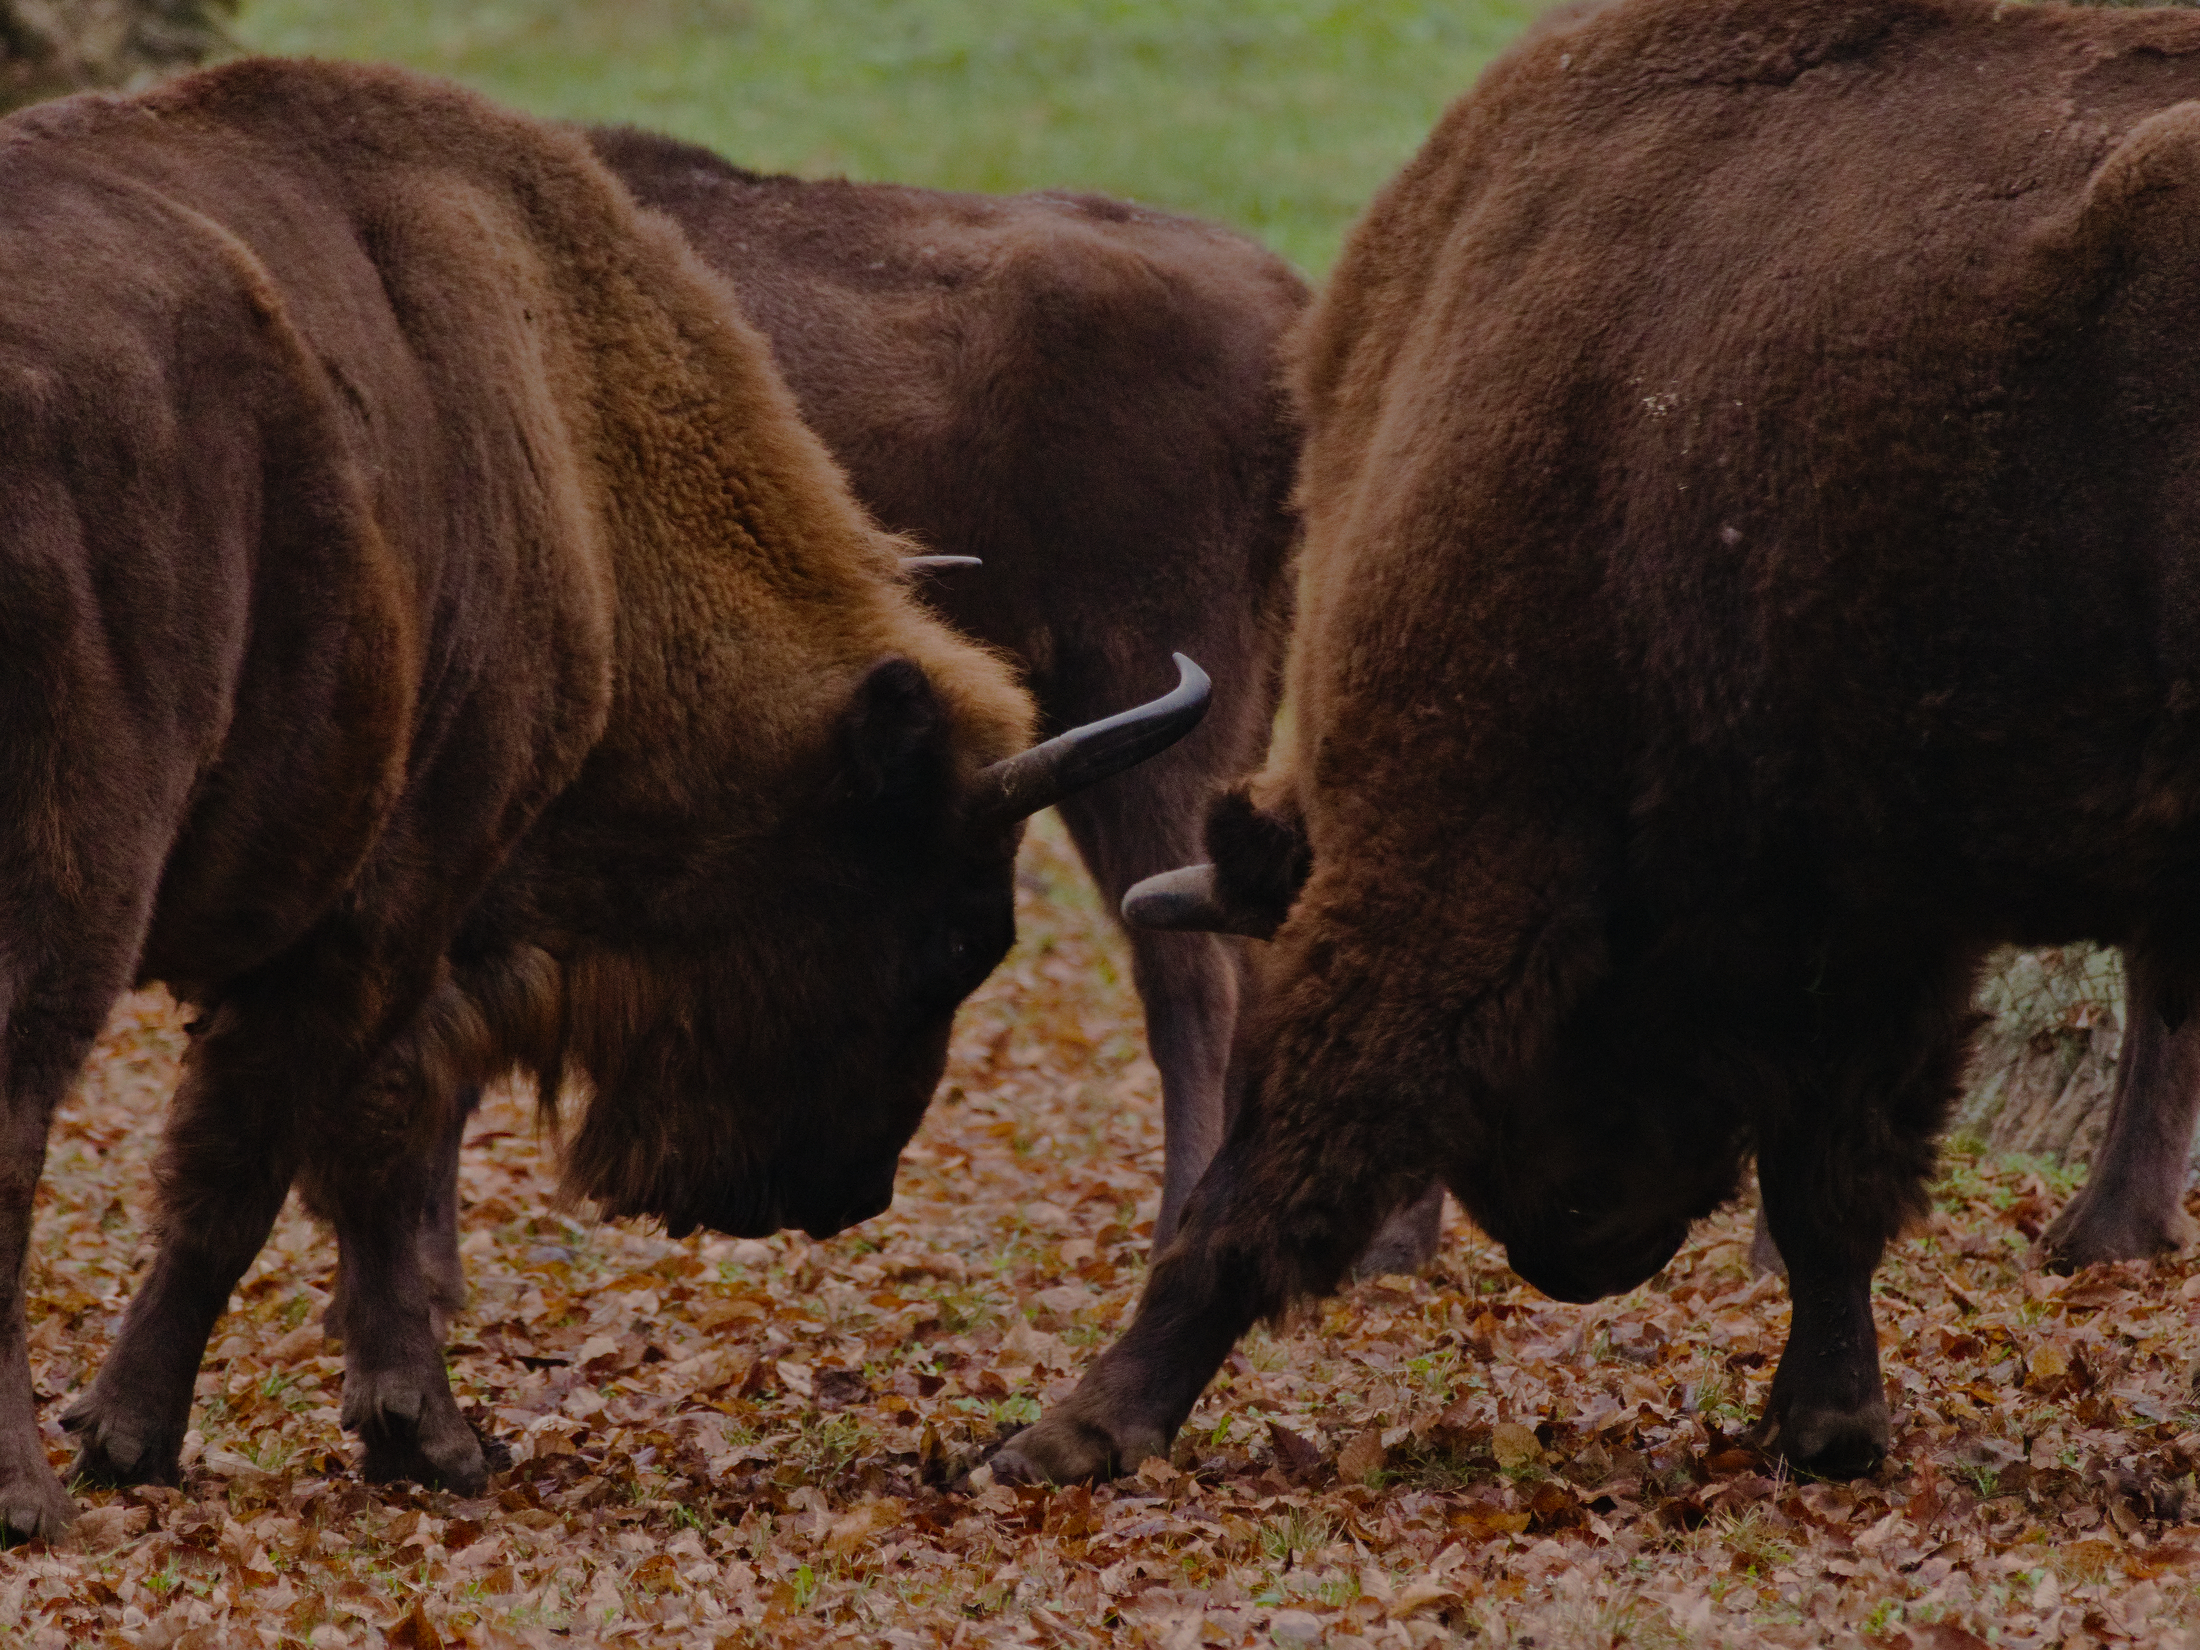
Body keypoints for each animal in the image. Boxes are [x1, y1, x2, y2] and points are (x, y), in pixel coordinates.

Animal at [0, 59, 1200, 1538]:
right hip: (74, 886)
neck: (565, 442)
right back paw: (26, 1493)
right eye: (954, 936)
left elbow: (352, 1153)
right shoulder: (386, 910)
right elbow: (283, 1159)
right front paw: (172, 1436)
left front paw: (399, 1428)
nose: (844, 1195)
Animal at [997, 0, 2200, 1485]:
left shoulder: (1453, 832)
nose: (1572, 1249)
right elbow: (1833, 1181)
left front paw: (1068, 1430)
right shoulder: (1866, 908)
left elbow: (1276, 1155)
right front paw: (1825, 1423)